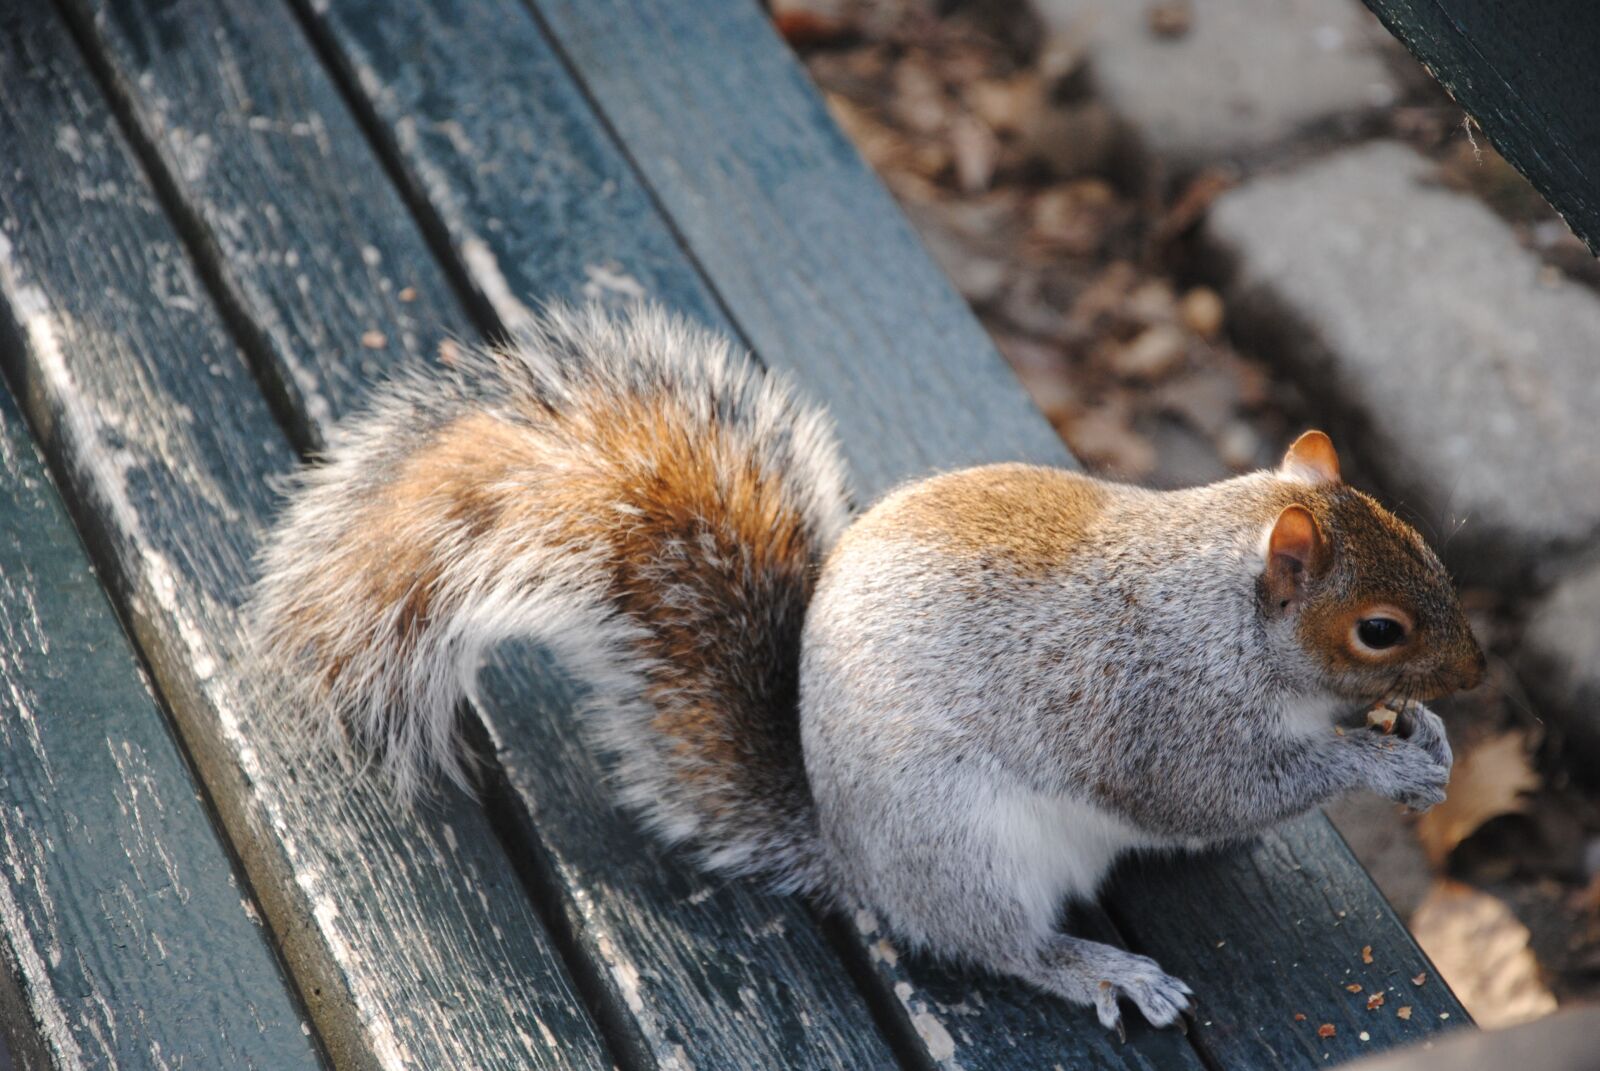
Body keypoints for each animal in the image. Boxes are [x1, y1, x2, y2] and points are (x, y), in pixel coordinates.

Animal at [250, 303, 1485, 1037]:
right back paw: (1095, 966)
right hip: (965, 845)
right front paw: (1376, 768)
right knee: (996, 942)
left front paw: (1421, 744)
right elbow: (1210, 787)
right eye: (1379, 628)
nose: (1473, 669)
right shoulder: (1153, 705)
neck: (1222, 615)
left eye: (1429, 545)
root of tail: (848, 853)